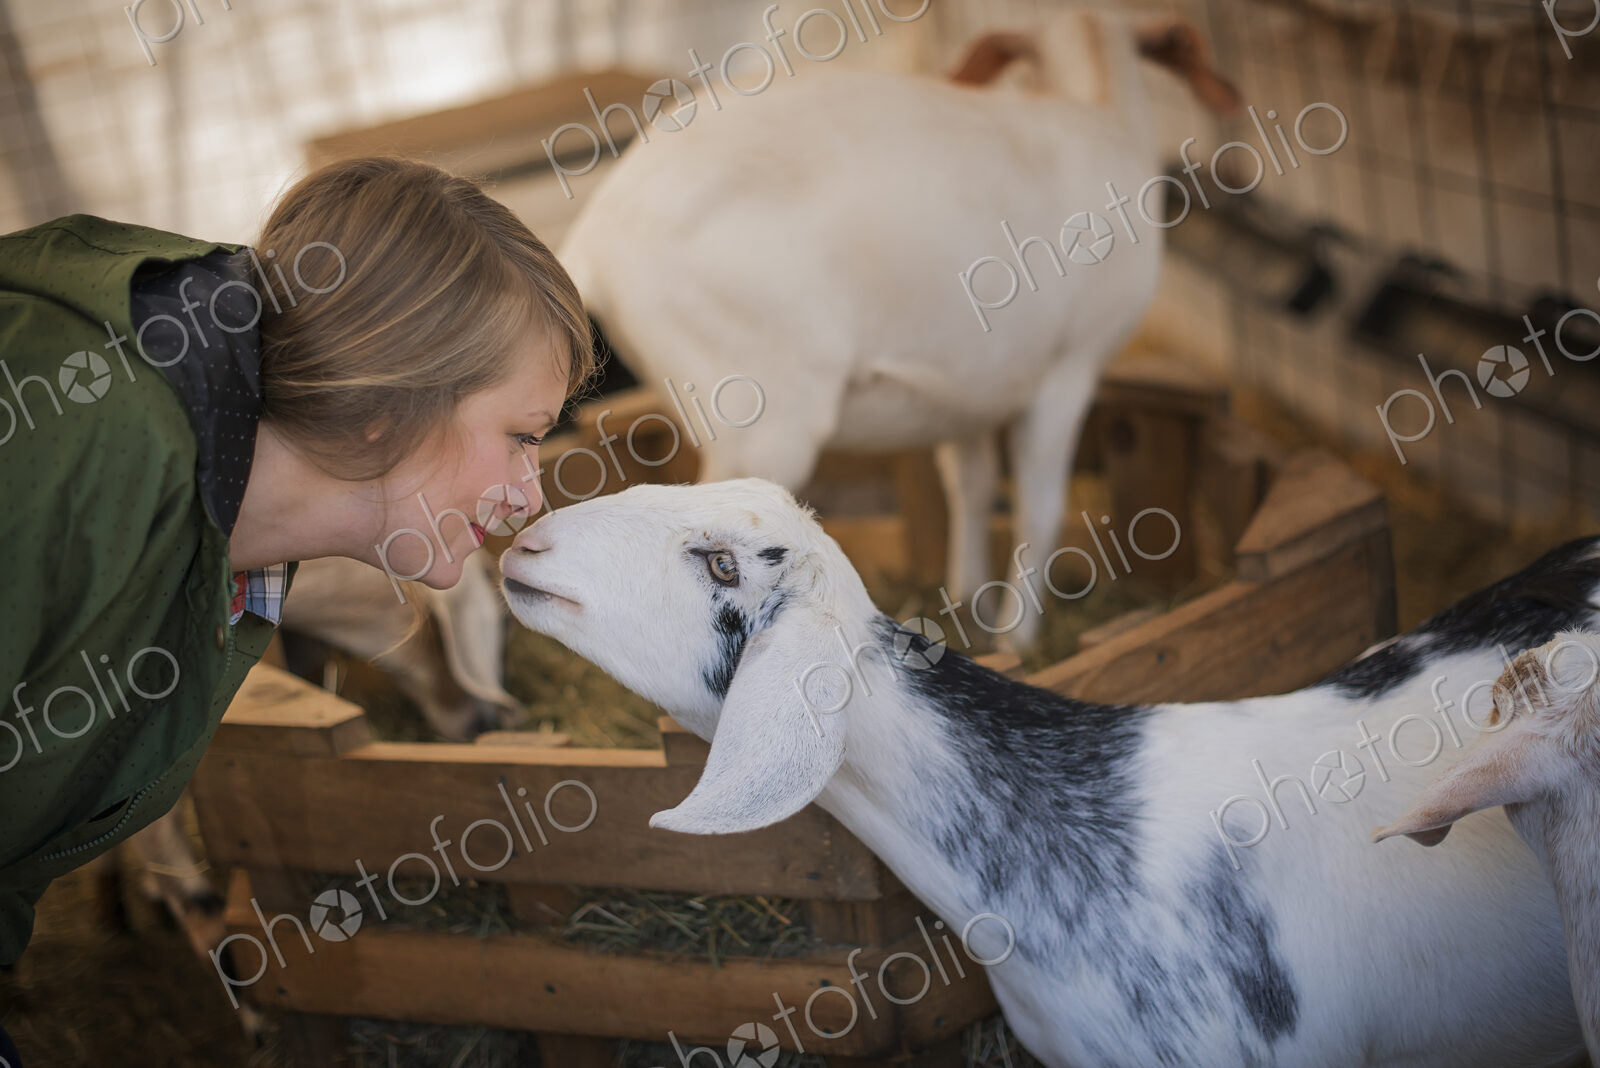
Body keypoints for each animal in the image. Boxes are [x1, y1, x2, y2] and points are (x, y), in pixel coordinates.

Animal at [555, 11, 1239, 648]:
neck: (1097, 109)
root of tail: (593, 241)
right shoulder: (1070, 368)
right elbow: (1040, 509)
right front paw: (1018, 640)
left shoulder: (968, 385)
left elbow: (971, 487)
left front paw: (969, 603)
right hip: (759, 412)